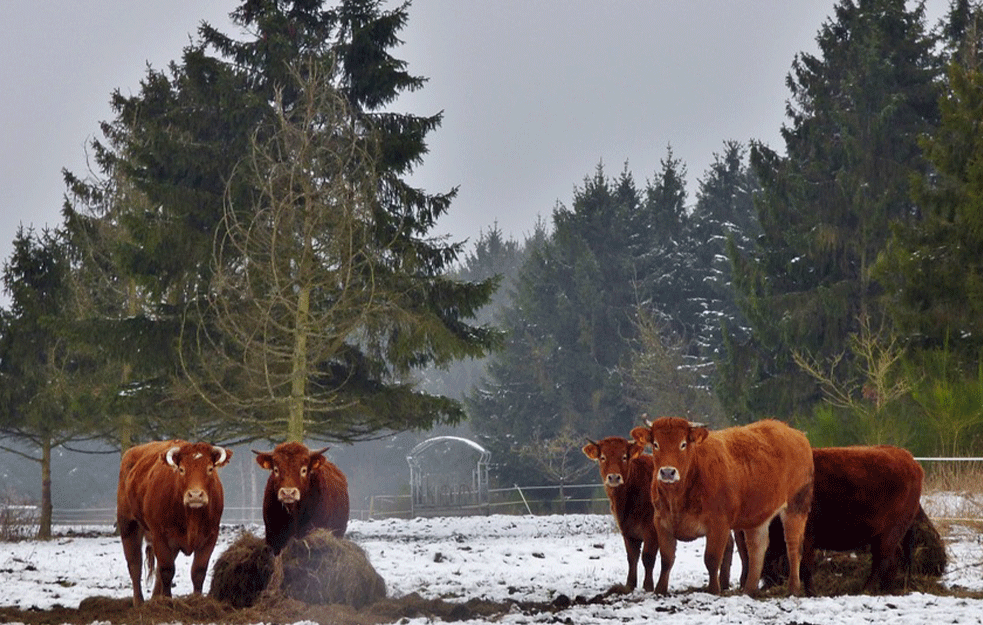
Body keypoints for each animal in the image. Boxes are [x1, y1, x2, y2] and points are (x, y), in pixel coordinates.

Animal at [117, 438, 233, 604]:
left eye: (210, 469)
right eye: (182, 469)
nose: (195, 495)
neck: (192, 517)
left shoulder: (210, 536)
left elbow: (198, 572)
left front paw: (197, 601)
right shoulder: (160, 535)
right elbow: (167, 570)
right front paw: (168, 602)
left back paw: (155, 599)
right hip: (128, 524)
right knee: (135, 565)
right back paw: (139, 603)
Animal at [632, 416, 816, 592]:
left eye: (683, 444)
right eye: (656, 444)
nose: (667, 472)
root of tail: (795, 433)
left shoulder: (719, 524)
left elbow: (712, 559)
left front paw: (714, 590)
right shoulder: (661, 522)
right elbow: (667, 559)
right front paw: (660, 590)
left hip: (796, 505)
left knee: (793, 546)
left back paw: (793, 588)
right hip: (757, 516)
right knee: (757, 548)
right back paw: (749, 590)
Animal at [748, 442, 928, 592]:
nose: (765, 580)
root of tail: (911, 461)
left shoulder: (807, 536)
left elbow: (806, 566)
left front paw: (811, 592)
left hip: (890, 533)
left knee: (883, 560)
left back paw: (866, 589)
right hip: (884, 535)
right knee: (891, 559)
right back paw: (886, 589)